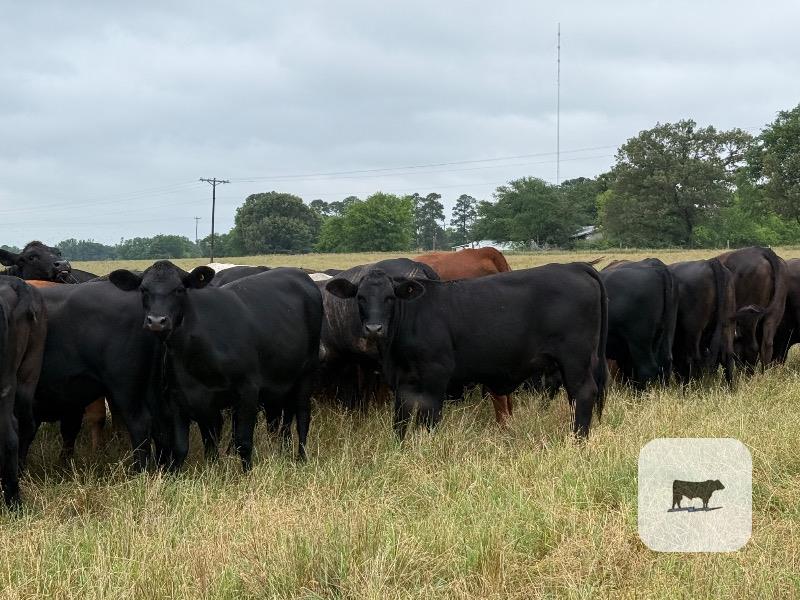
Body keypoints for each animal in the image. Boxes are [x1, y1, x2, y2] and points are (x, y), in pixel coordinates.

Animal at [108, 261, 323, 470]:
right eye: (143, 289)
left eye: (179, 289)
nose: (156, 321)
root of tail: (298, 273)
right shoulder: (181, 398)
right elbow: (186, 446)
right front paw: (202, 470)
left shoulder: (248, 390)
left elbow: (243, 441)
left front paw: (246, 474)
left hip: (307, 373)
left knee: (302, 416)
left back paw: (302, 458)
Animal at [325, 262, 607, 438]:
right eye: (360, 297)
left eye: (390, 297)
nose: (374, 328)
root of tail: (572, 267)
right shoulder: (403, 382)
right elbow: (401, 421)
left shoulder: (436, 376)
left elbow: (429, 418)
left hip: (575, 360)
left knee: (582, 394)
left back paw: (578, 439)